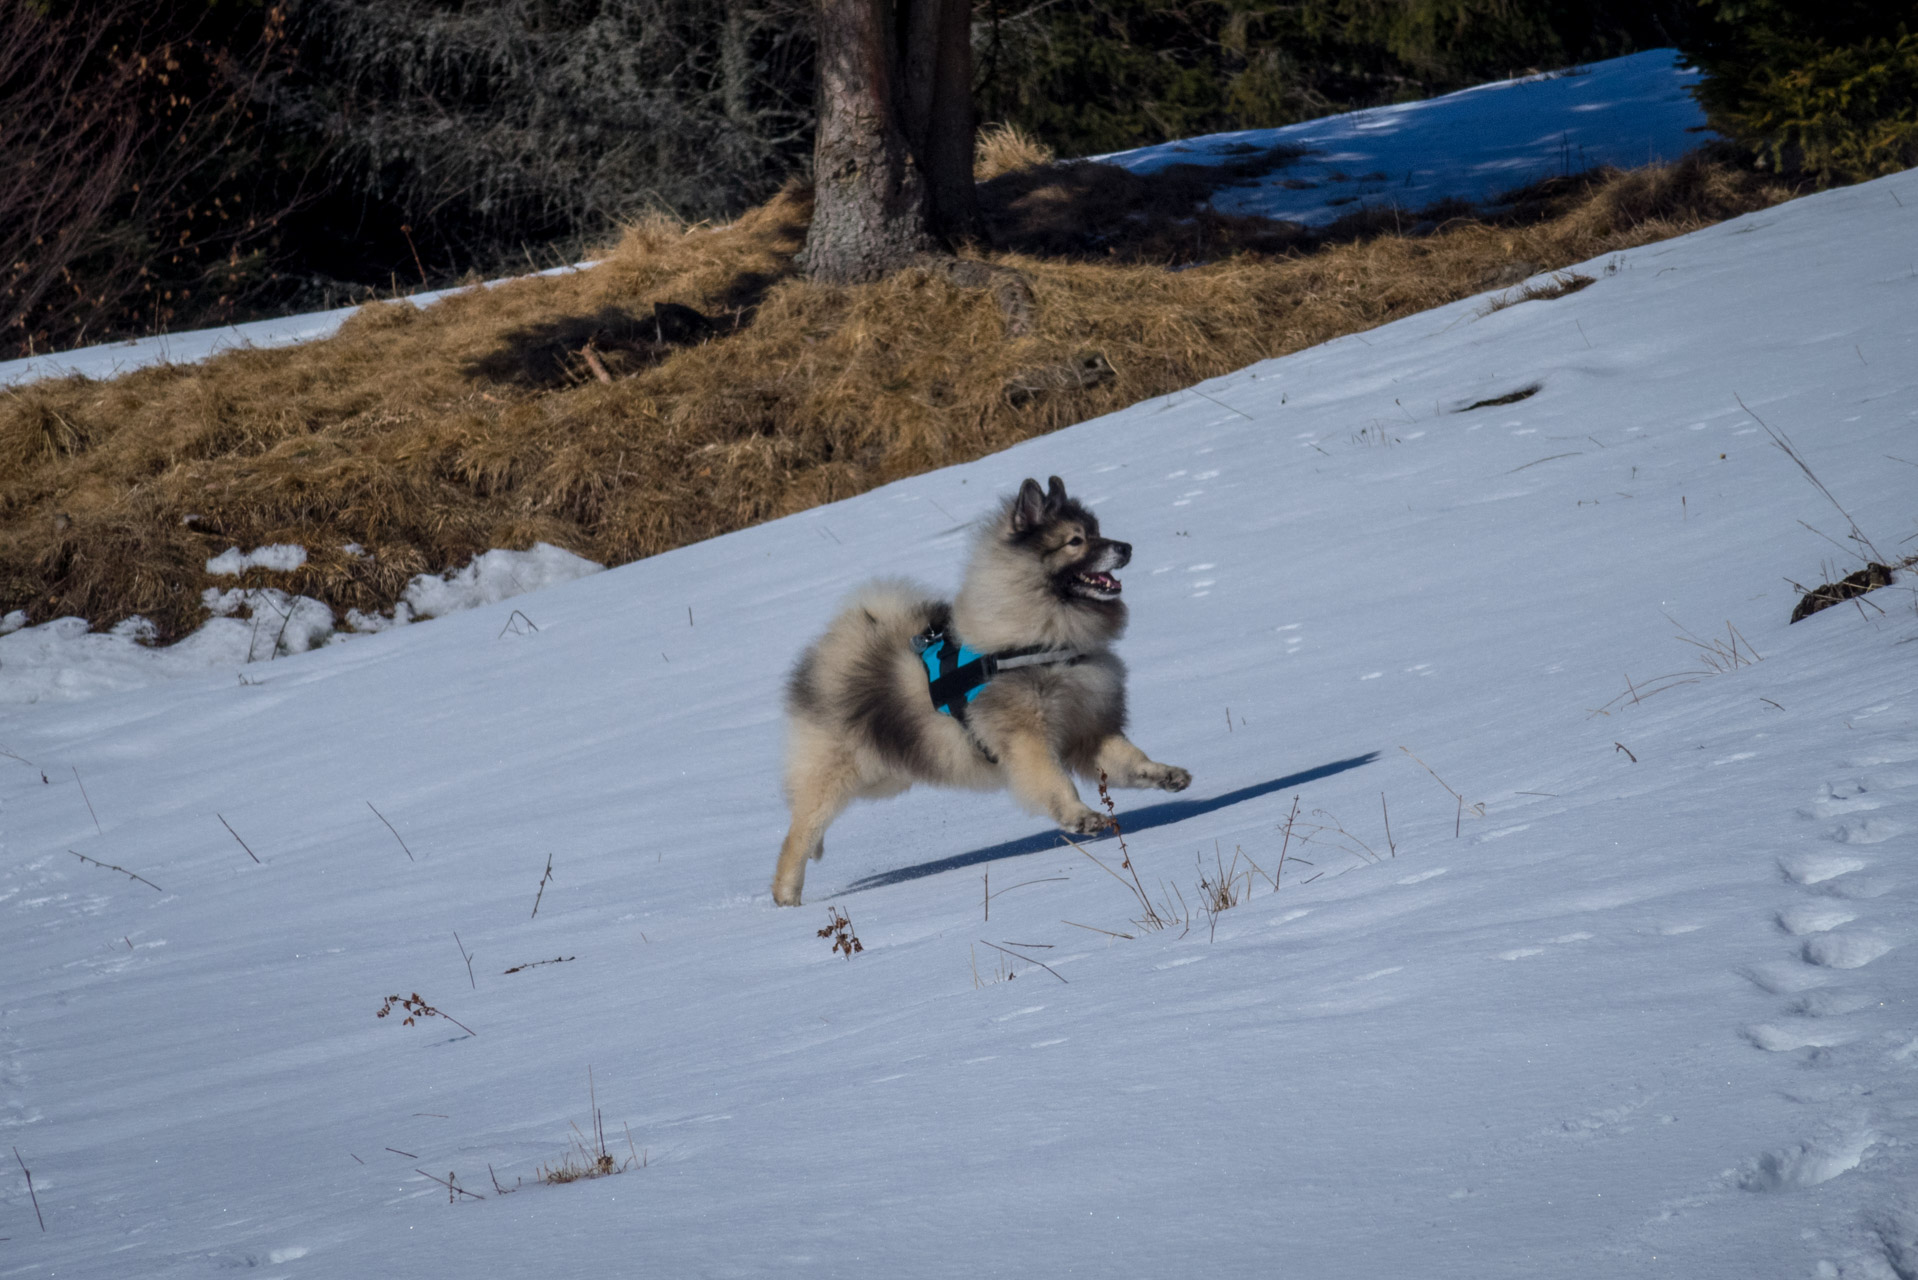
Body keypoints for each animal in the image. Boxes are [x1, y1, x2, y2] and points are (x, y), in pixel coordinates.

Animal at [771, 475, 1189, 905]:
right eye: (1076, 541)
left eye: (1098, 531)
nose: (1126, 547)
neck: (1044, 642)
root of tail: (828, 654)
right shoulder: (1026, 739)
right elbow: (1055, 782)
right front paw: (1081, 816)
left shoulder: (1087, 729)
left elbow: (1129, 758)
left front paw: (1164, 774)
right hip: (838, 772)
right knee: (799, 831)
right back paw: (787, 899)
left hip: (888, 770)